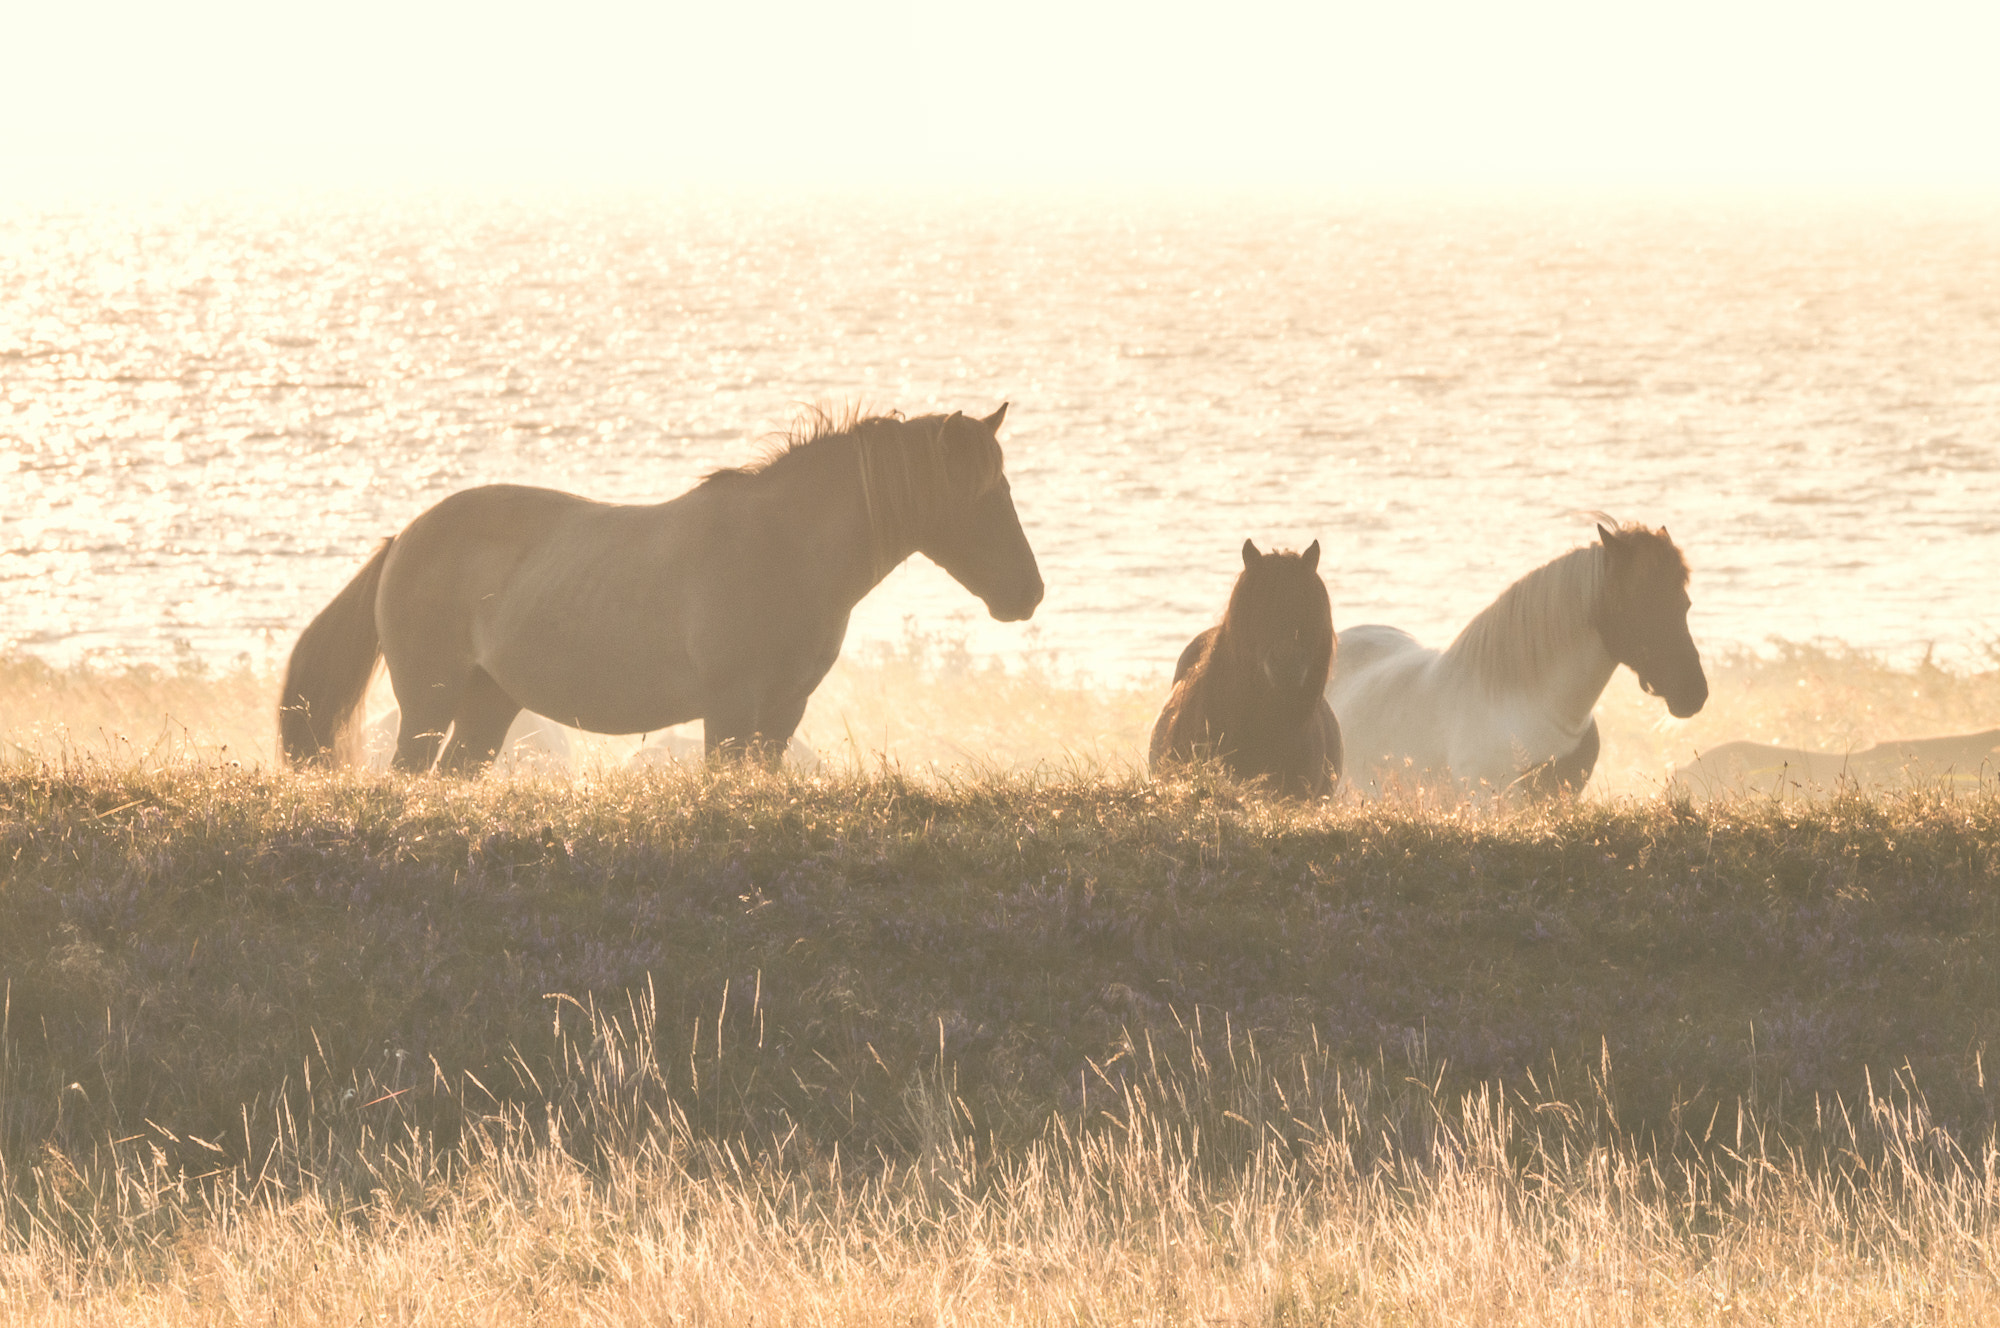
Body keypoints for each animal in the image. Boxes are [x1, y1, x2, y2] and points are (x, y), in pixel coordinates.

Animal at [279, 405, 1042, 772]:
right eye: (982, 495)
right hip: (429, 704)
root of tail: (403, 539)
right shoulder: (730, 710)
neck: (782, 547)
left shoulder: (782, 713)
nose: (1028, 594)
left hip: (487, 706)